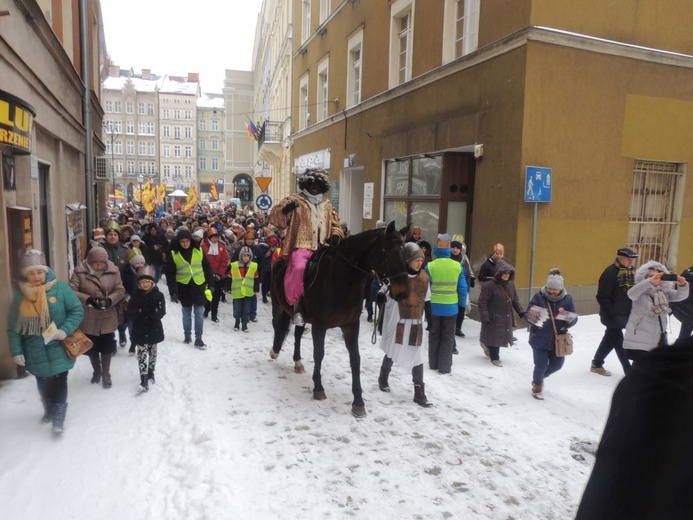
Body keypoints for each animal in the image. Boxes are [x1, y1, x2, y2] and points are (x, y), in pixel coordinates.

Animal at [268, 221, 410, 416]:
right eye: (389, 252)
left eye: (405, 252)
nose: (402, 292)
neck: (343, 279)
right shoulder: (319, 326)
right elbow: (319, 354)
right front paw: (318, 388)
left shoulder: (351, 325)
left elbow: (355, 359)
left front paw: (358, 401)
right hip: (278, 306)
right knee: (277, 325)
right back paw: (275, 350)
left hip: (301, 316)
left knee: (297, 333)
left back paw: (297, 362)